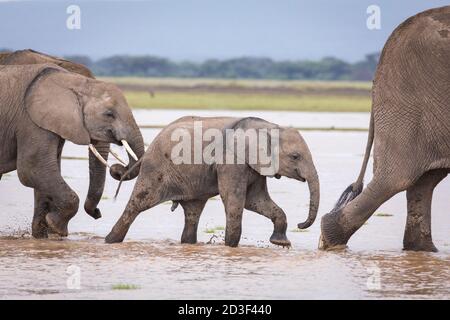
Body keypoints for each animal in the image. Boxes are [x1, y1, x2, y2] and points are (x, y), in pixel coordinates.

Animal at [0, 63, 144, 238]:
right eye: (109, 114)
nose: (98, 213)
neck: (74, 81)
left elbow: (45, 173)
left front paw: (43, 234)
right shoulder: (30, 122)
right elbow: (32, 169)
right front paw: (56, 227)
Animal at [104, 116, 320, 246]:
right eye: (295, 156)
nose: (301, 224)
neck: (270, 126)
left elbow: (256, 200)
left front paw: (281, 243)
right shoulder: (231, 160)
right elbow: (234, 200)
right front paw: (230, 247)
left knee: (192, 212)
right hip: (155, 168)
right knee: (137, 204)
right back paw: (110, 241)